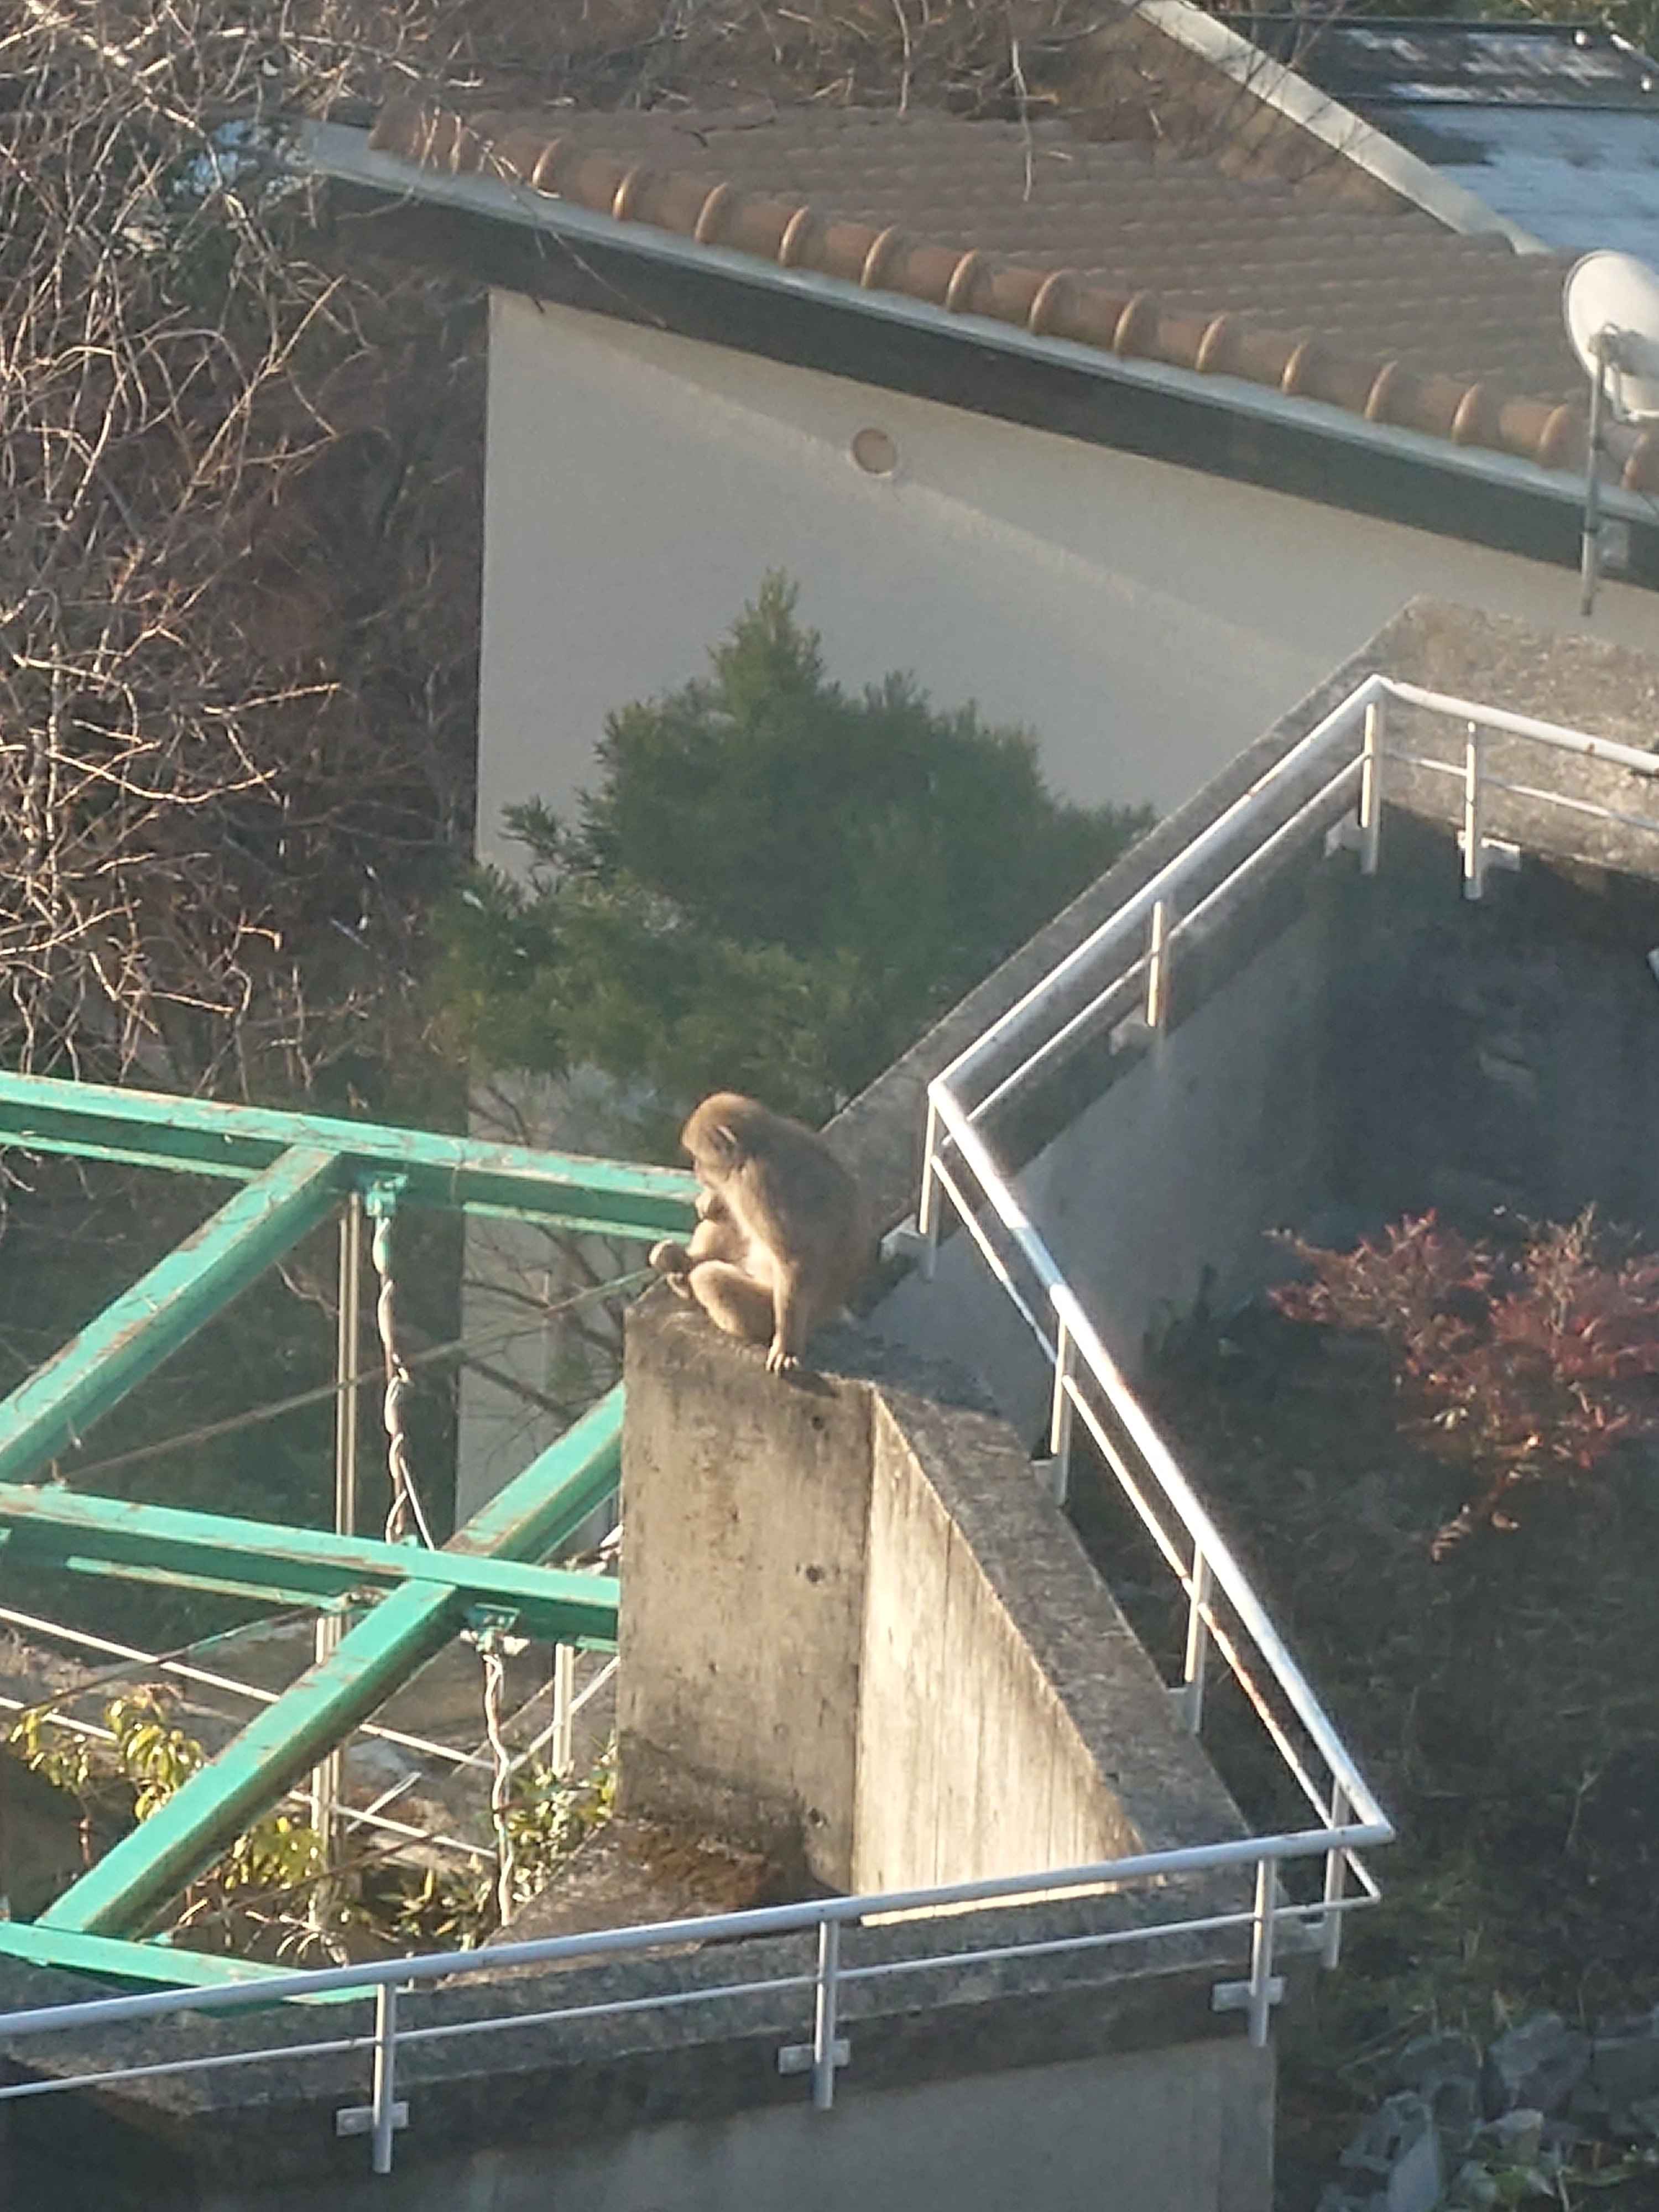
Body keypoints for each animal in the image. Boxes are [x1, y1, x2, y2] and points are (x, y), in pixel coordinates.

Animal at [648, 1092, 870, 1374]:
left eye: (700, 1158)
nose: (697, 1169)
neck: (759, 1145)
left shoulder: (757, 1182)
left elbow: (794, 1260)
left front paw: (786, 1346)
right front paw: (709, 1201)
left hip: (766, 1308)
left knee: (710, 1278)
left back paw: (691, 1281)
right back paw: (682, 1264)